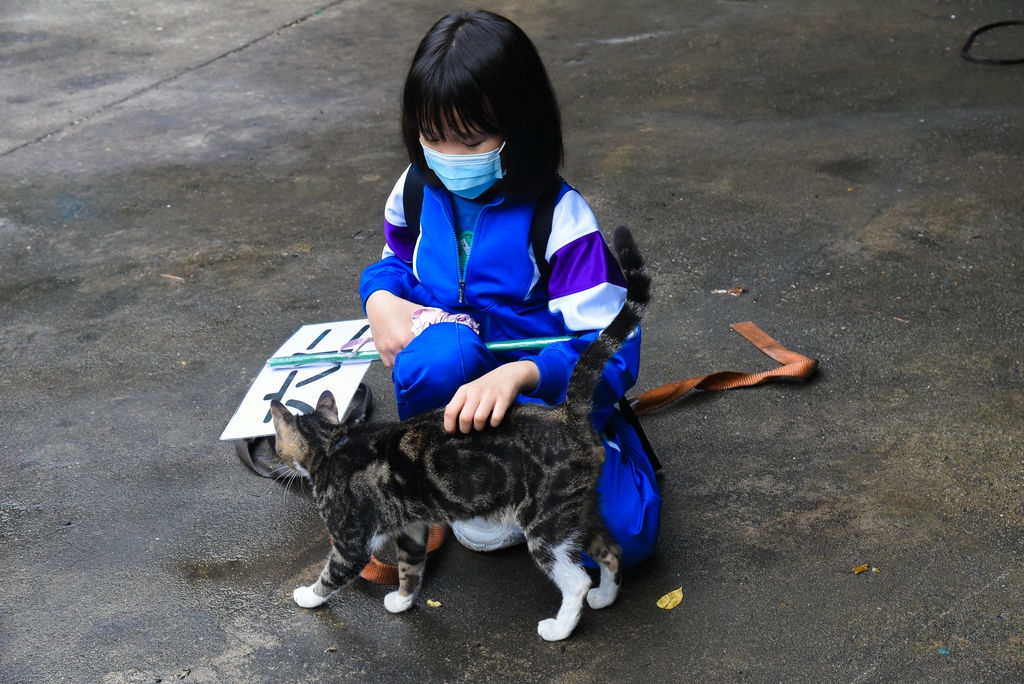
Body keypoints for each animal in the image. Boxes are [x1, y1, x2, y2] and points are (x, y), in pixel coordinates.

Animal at [270, 225, 651, 641]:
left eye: (277, 443)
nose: (279, 465)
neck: (332, 443)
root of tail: (566, 413)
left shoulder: (351, 540)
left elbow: (333, 573)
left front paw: (307, 596)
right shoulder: (412, 526)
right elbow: (410, 567)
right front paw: (402, 600)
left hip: (545, 521)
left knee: (576, 578)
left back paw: (560, 626)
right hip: (578, 510)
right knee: (611, 551)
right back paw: (604, 596)